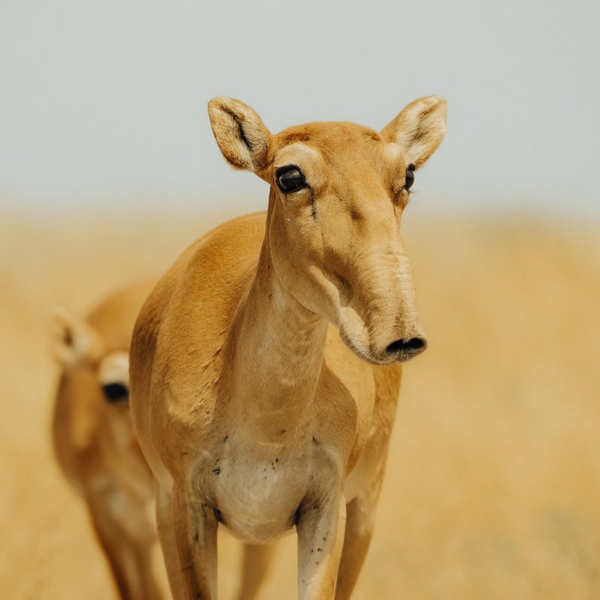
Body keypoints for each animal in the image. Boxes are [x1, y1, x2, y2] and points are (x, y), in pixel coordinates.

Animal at [131, 96, 448, 596]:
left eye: (408, 175)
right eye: (290, 175)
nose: (400, 331)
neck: (267, 430)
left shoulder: (326, 509)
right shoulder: (186, 505)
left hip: (361, 511)